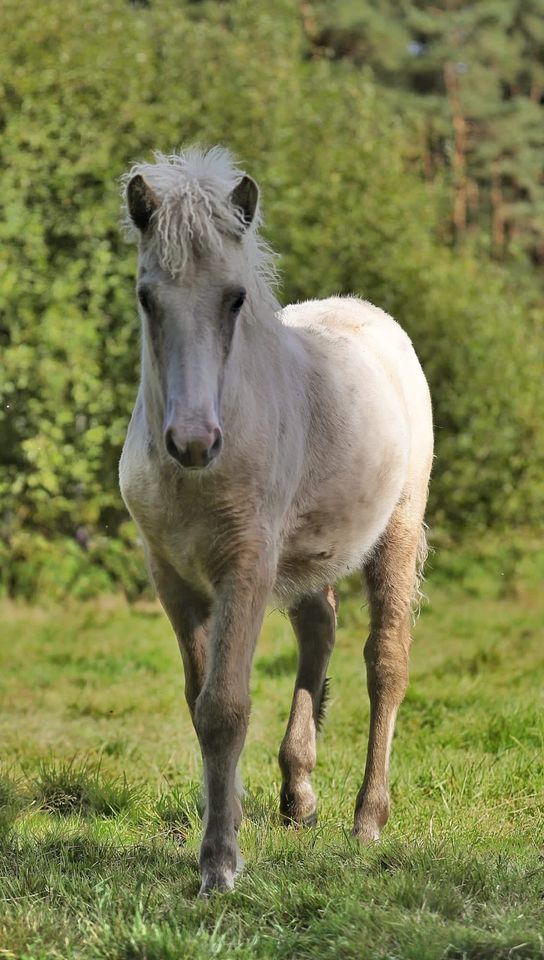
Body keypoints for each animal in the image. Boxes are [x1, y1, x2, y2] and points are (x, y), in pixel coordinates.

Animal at [119, 146, 434, 896]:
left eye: (235, 298)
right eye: (147, 297)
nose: (193, 440)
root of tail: (367, 314)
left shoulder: (247, 564)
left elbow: (225, 706)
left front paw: (219, 865)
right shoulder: (171, 576)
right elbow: (198, 701)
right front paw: (225, 828)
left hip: (397, 531)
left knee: (386, 662)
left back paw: (367, 819)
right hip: (307, 550)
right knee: (319, 629)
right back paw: (299, 796)